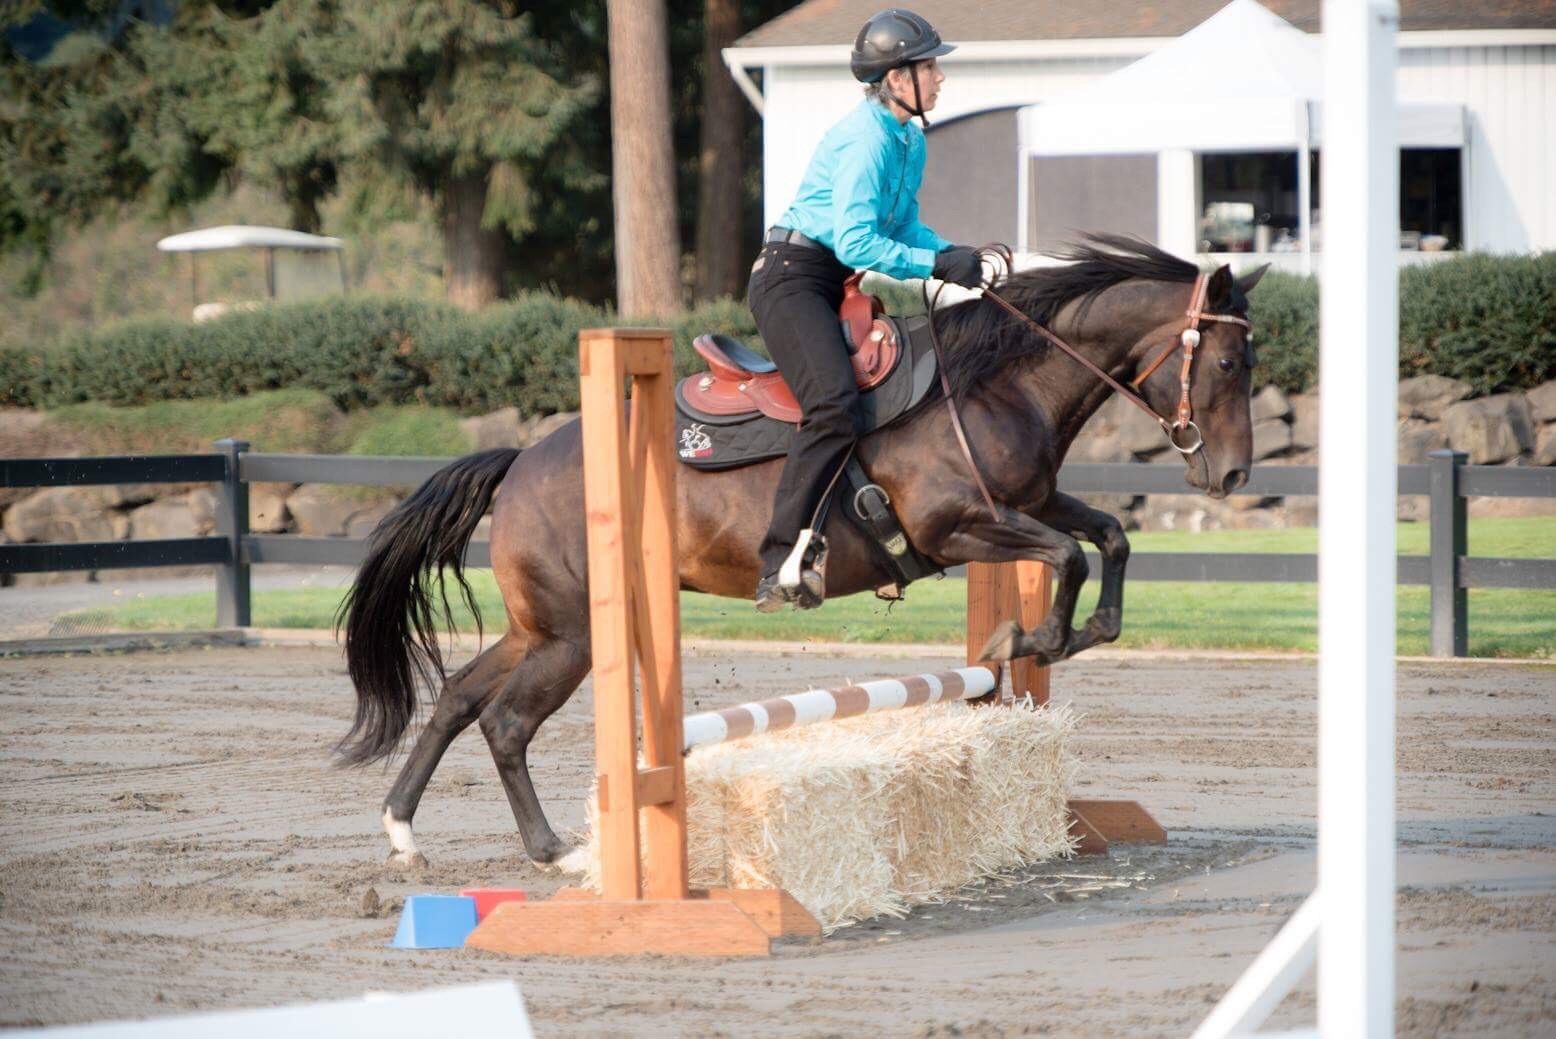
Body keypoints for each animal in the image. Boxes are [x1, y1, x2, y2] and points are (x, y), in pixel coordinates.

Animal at [337, 234, 1263, 871]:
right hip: (575, 636)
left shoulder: (1029, 503)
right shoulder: (957, 524)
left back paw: (402, 830)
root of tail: (522, 461)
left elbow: (1110, 537)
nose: (1233, 473)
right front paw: (1027, 638)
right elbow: (1067, 559)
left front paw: (1076, 633)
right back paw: (553, 849)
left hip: (543, 628)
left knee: (458, 696)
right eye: (1226, 360)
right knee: (504, 721)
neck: (996, 382)